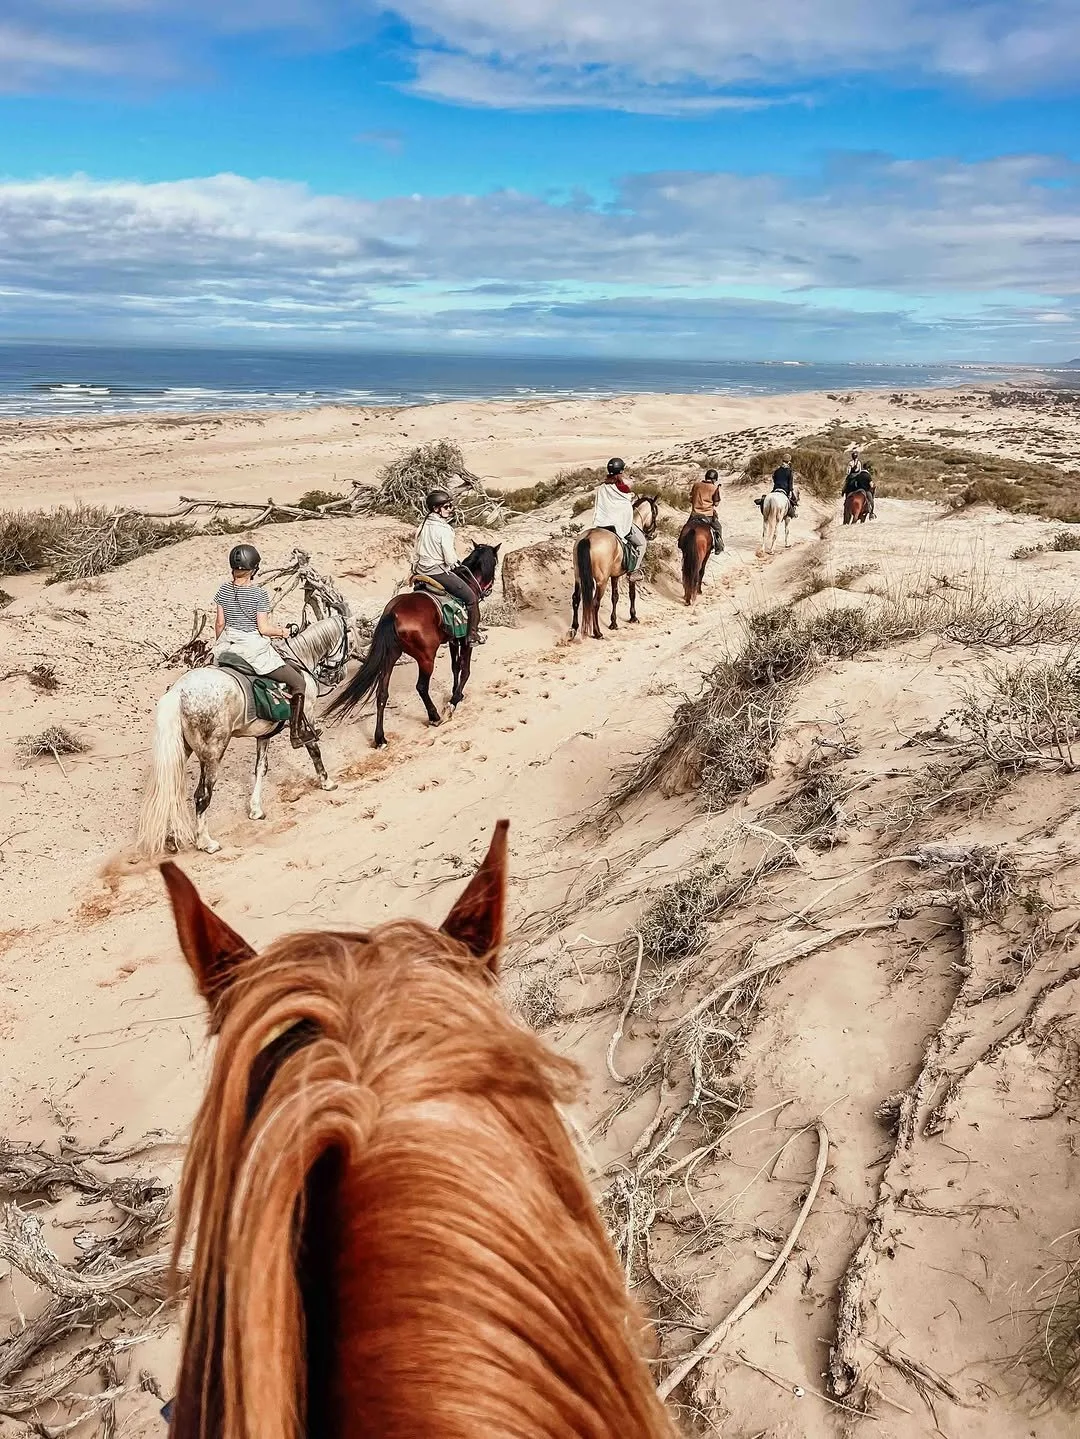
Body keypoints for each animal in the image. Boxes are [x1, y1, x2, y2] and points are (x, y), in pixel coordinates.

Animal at [136, 614, 351, 857]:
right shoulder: (309, 712)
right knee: (202, 796)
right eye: (348, 639)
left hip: (182, 751)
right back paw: (206, 842)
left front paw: (256, 809)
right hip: (212, 755)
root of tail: (178, 692)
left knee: (171, 791)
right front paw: (327, 782)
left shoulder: (264, 734)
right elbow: (314, 749)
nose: (340, 674)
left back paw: (173, 839)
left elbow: (260, 769)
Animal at [325, 544, 500, 749]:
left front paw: (456, 694)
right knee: (421, 687)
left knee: (382, 693)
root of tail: (393, 614)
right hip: (426, 658)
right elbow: (465, 670)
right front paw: (454, 700)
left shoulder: (453, 639)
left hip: (390, 657)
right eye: (495, 562)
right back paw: (434, 716)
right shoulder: (466, 640)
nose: (489, 589)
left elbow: (455, 667)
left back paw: (380, 738)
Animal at [571, 496, 659, 640]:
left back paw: (573, 629)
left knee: (576, 599)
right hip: (601, 581)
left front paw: (613, 623)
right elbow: (632, 594)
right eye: (655, 512)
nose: (652, 533)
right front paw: (633, 617)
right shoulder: (629, 576)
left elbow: (615, 597)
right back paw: (597, 632)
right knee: (595, 603)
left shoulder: (615, 575)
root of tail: (588, 537)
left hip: (578, 577)